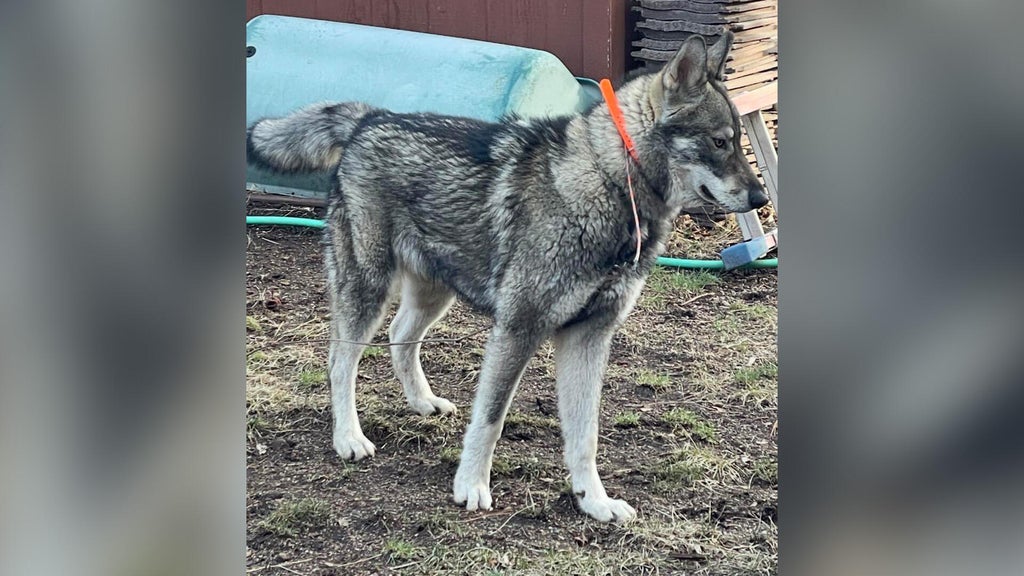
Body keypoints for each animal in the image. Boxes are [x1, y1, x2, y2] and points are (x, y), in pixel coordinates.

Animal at [247, 31, 768, 523]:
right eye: (719, 141)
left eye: (738, 141)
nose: (761, 198)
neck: (606, 180)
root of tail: (369, 120)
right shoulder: (518, 329)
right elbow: (492, 417)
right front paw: (471, 485)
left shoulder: (589, 338)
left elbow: (586, 435)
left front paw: (593, 502)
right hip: (368, 289)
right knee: (341, 361)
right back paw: (349, 437)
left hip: (433, 292)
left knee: (400, 336)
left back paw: (422, 401)